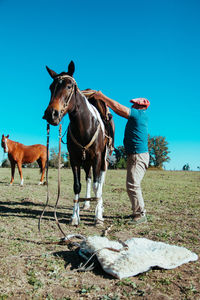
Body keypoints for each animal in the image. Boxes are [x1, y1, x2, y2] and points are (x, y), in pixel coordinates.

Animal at [43, 61, 114, 225]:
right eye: (51, 87)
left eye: (69, 86)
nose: (51, 114)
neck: (85, 127)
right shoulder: (74, 159)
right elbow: (77, 186)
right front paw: (75, 217)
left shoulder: (97, 157)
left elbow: (97, 185)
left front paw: (98, 216)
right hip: (86, 161)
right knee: (88, 179)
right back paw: (87, 203)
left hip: (103, 160)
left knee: (100, 182)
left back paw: (99, 207)